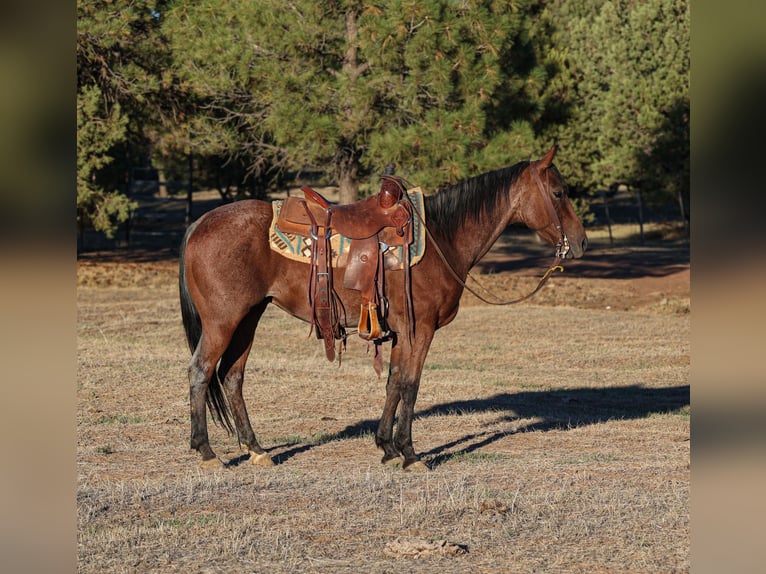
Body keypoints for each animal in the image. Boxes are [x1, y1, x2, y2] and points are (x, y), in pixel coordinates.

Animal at [179, 145, 587, 470]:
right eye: (558, 192)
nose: (581, 242)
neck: (442, 238)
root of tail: (200, 223)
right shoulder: (420, 329)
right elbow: (411, 384)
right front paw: (410, 453)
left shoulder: (399, 333)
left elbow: (393, 382)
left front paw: (387, 447)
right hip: (223, 321)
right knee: (201, 371)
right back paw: (207, 453)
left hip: (249, 317)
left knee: (232, 376)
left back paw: (256, 449)